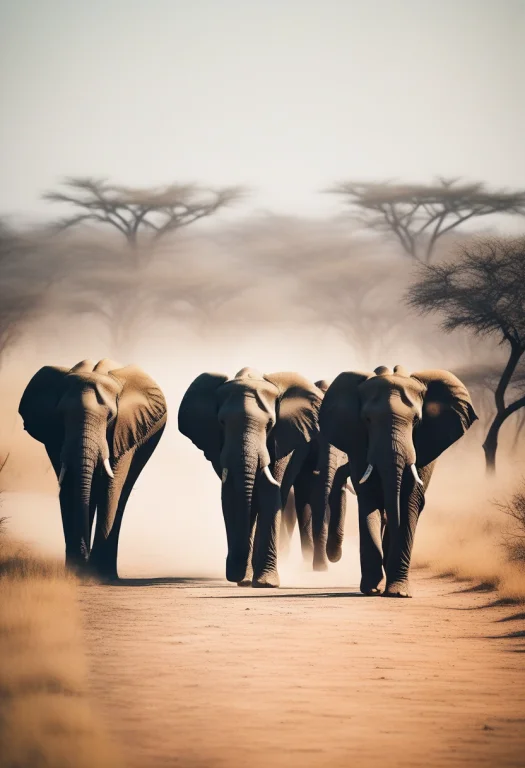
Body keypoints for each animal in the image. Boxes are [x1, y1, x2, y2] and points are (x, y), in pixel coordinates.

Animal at [18, 359, 167, 579]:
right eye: (60, 416)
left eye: (111, 417)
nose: (84, 560)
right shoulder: (54, 436)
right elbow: (68, 484)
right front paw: (76, 572)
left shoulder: (124, 429)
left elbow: (111, 488)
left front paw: (97, 575)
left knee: (122, 492)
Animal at [178, 367, 330, 588]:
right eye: (222, 423)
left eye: (270, 425)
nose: (234, 573)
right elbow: (232, 495)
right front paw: (244, 578)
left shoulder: (282, 439)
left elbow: (270, 492)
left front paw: (266, 583)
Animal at [319, 365, 477, 598]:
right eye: (367, 420)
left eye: (416, 420)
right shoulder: (358, 446)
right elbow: (370, 501)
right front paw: (372, 589)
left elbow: (410, 501)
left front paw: (398, 593)